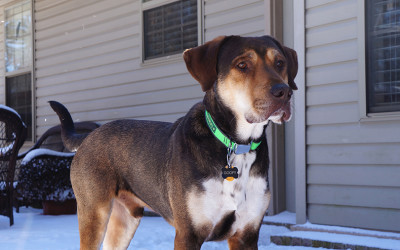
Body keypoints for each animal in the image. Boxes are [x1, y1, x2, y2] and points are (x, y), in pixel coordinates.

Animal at [49, 35, 296, 250]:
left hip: (126, 218)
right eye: (242, 65)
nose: (283, 92)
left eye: (280, 63)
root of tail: (90, 135)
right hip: (94, 212)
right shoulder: (188, 233)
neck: (236, 144)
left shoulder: (246, 234)